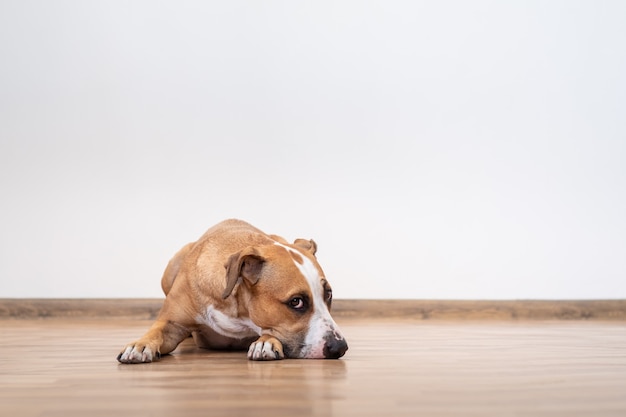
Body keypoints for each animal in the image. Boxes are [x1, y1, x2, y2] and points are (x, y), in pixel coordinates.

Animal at [116, 219, 346, 362]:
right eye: (296, 301)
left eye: (329, 295)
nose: (340, 347)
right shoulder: (172, 323)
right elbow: (156, 331)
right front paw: (140, 345)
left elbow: (270, 331)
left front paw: (265, 343)